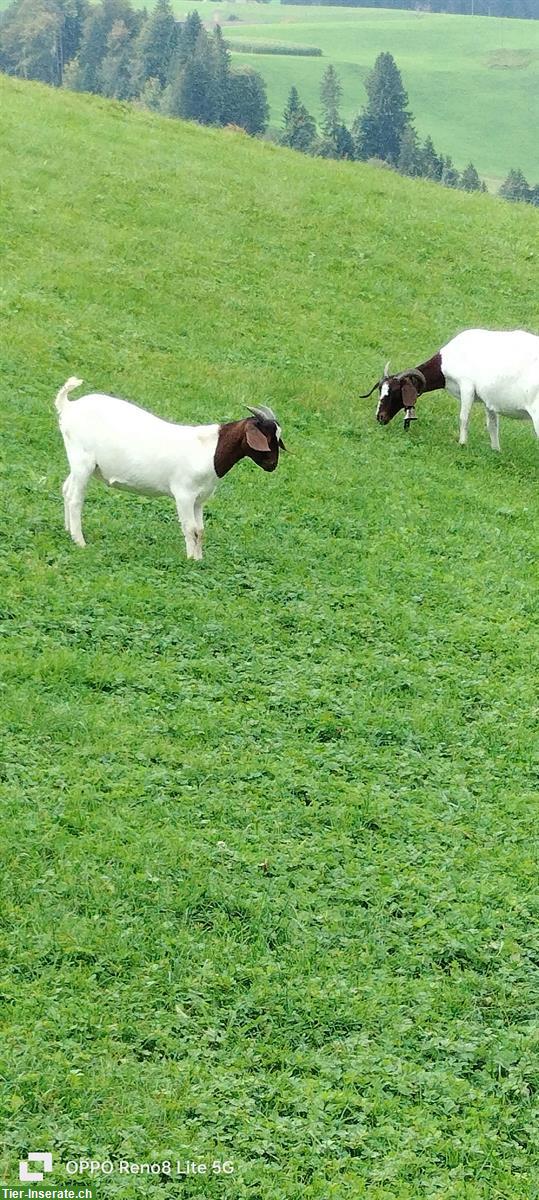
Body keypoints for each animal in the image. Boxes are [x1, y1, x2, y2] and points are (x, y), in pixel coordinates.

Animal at [53, 376, 285, 559]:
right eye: (266, 437)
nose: (272, 465)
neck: (210, 450)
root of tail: (69, 406)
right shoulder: (184, 494)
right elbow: (190, 529)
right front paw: (191, 559)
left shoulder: (199, 499)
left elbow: (201, 530)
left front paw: (199, 559)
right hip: (82, 461)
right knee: (75, 499)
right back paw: (80, 541)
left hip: (78, 463)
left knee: (66, 490)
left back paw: (68, 531)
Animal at [360, 328, 539, 451]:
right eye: (380, 390)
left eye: (395, 392)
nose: (380, 417)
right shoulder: (489, 401)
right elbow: (492, 426)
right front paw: (496, 450)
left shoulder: (467, 387)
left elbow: (463, 418)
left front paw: (462, 444)